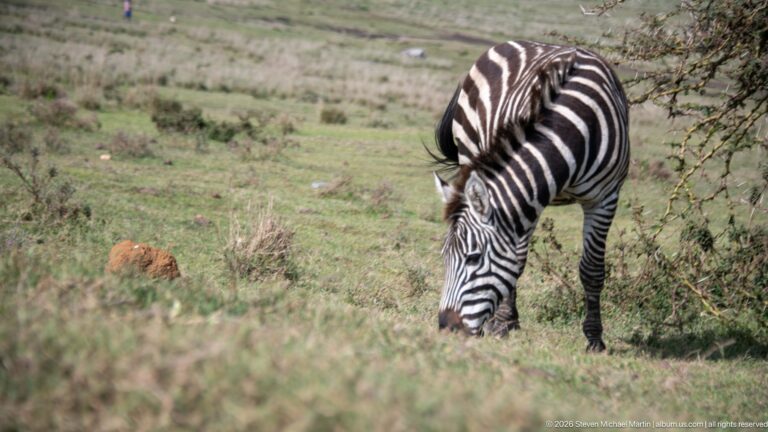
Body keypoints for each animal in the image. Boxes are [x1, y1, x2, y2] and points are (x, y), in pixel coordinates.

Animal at [431, 40, 629, 352]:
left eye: (474, 258)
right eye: (444, 257)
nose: (446, 328)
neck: (572, 133)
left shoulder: (605, 198)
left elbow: (592, 270)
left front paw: (595, 339)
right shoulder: (530, 197)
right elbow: (518, 261)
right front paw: (502, 322)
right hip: (471, 153)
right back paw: (504, 319)